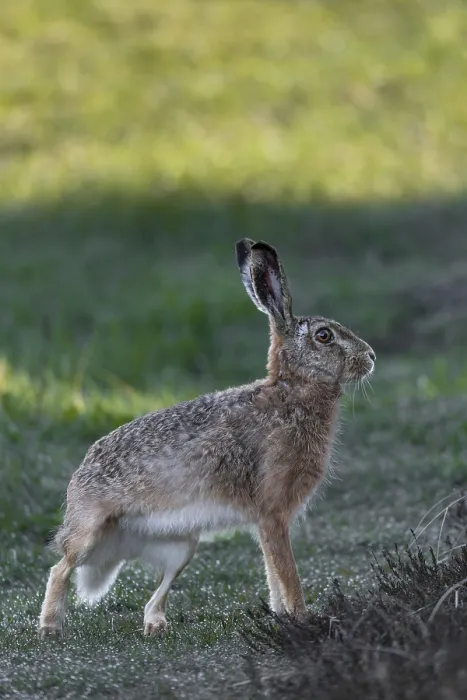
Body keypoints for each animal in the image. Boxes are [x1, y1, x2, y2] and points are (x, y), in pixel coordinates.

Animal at [38, 238, 375, 638]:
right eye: (324, 336)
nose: (371, 357)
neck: (291, 391)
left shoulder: (268, 522)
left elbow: (273, 573)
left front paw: (282, 617)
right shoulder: (273, 512)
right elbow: (286, 572)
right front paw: (303, 619)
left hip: (182, 546)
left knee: (155, 592)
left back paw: (155, 625)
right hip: (91, 531)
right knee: (61, 567)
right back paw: (50, 626)